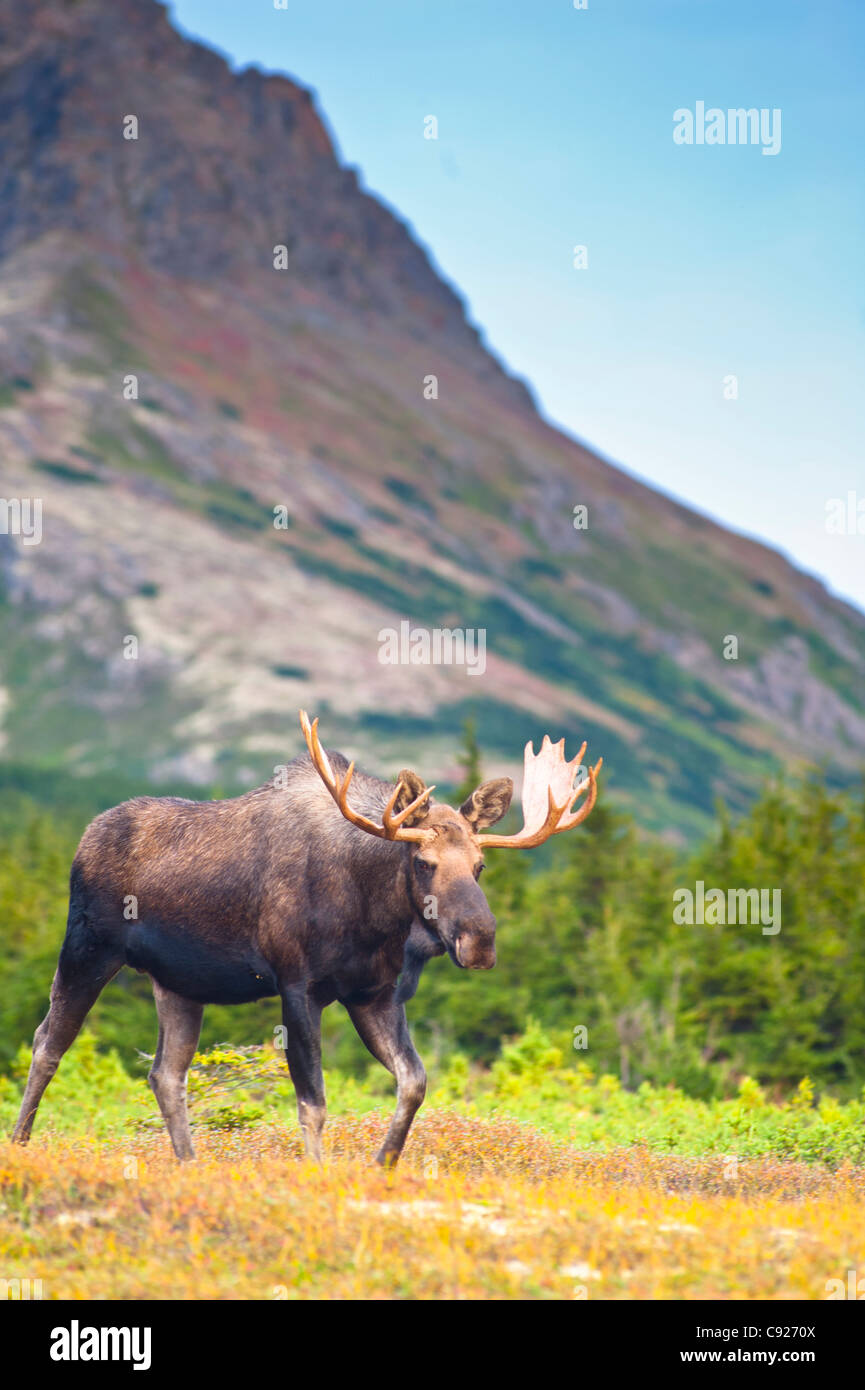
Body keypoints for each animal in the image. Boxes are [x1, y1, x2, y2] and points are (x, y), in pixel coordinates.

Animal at [11, 711, 603, 1167]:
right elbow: (313, 1103)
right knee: (48, 1043)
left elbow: (413, 1081)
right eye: (424, 862)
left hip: (178, 982)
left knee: (165, 1073)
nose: (479, 943)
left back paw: (189, 1165)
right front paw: (319, 1174)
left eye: (480, 866)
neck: (372, 917)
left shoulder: (373, 995)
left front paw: (383, 1164)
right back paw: (19, 1144)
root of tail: (83, 839)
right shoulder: (297, 985)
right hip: (87, 946)